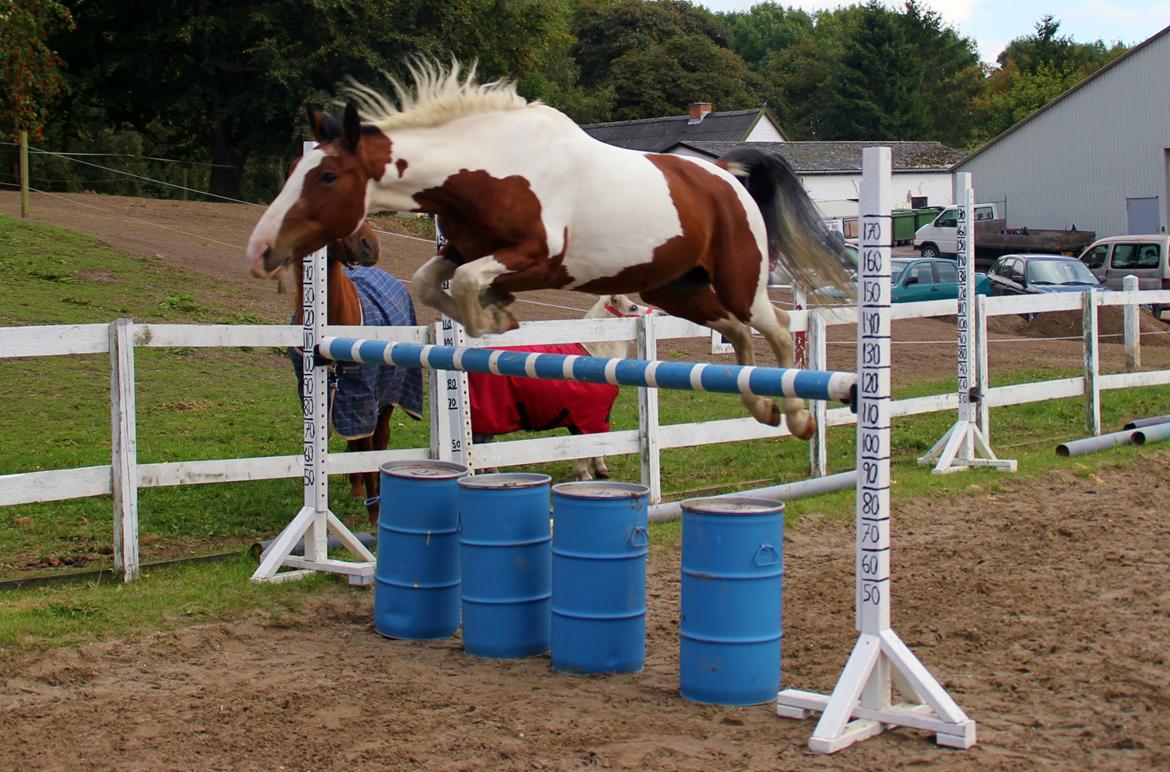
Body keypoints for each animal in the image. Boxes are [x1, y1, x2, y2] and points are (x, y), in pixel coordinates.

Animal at [249, 61, 851, 439]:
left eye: (327, 176)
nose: (260, 250)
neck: (490, 169)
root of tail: (725, 174)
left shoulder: (537, 259)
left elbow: (468, 281)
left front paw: (494, 320)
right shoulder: (462, 248)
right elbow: (431, 279)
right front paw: (497, 315)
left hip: (737, 281)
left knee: (774, 328)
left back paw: (797, 417)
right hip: (675, 289)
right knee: (736, 334)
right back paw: (762, 407)